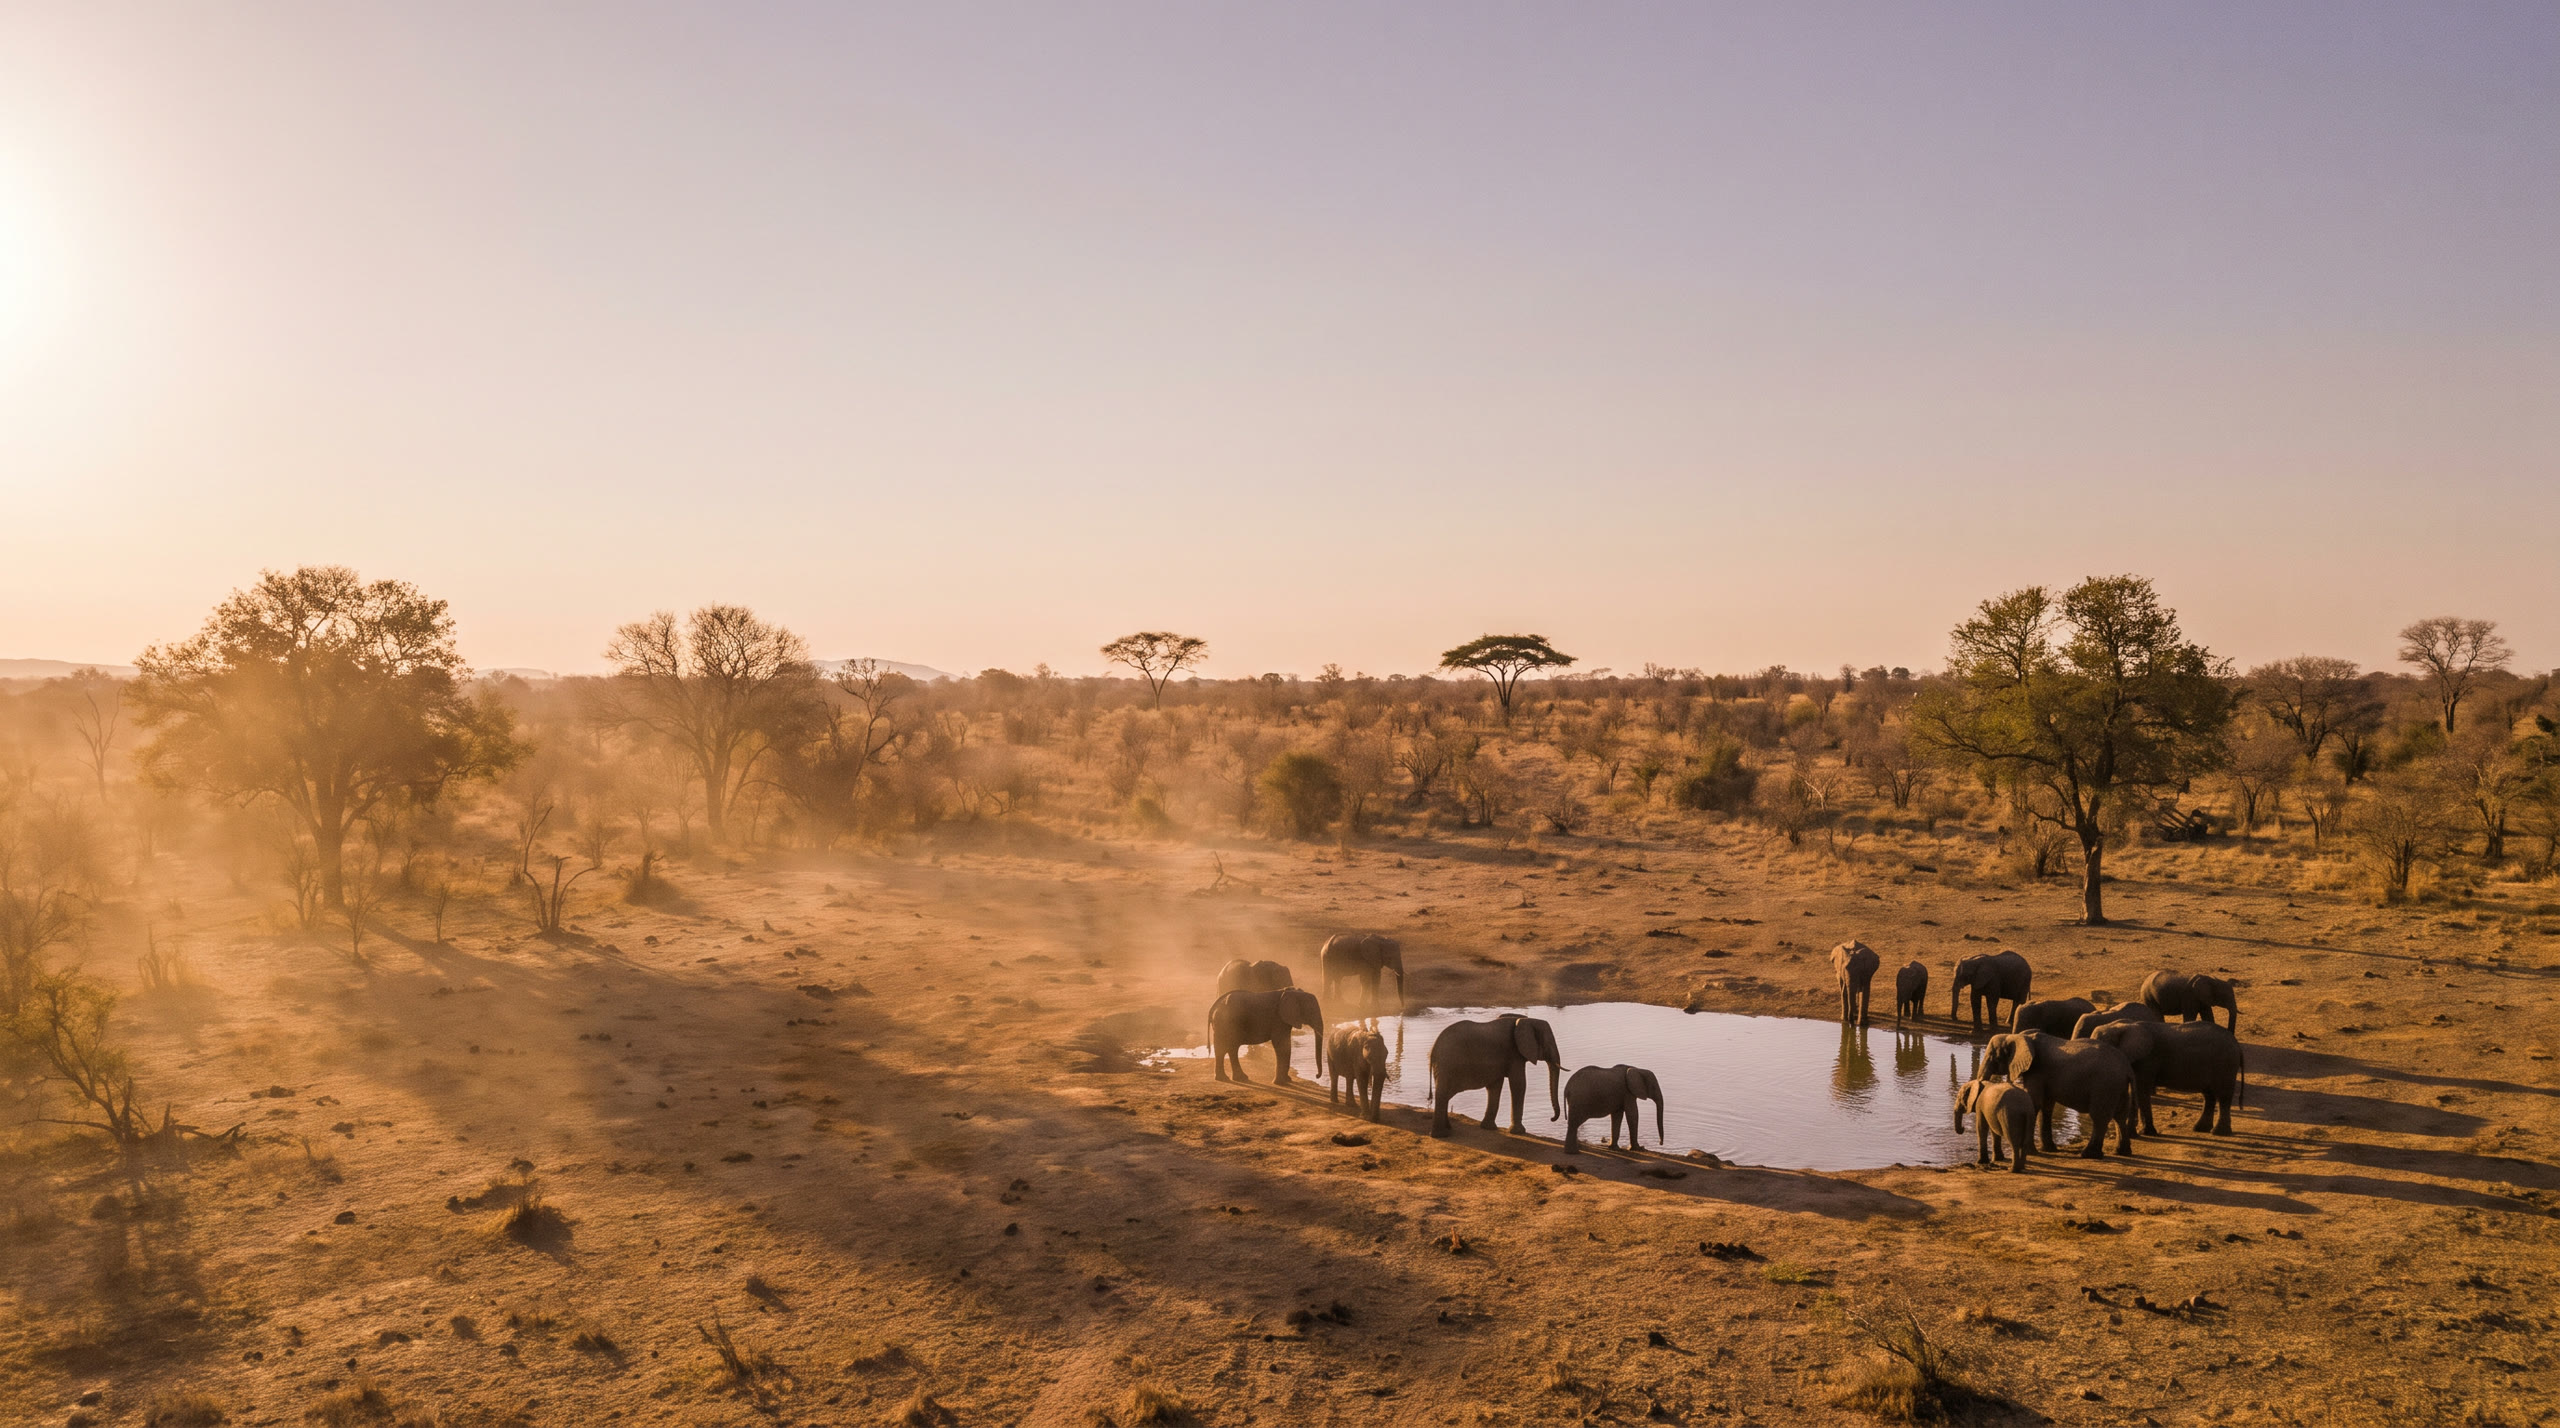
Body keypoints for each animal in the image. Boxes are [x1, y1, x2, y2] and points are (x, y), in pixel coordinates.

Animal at [1427, 1014, 1562, 1137]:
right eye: (1548, 1043)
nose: (1552, 1118)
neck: (1525, 1019)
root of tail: (1433, 1049)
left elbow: (1495, 1086)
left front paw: (1488, 1128)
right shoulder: (1514, 1053)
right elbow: (1518, 1084)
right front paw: (1518, 1132)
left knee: (1445, 1094)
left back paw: (1447, 1130)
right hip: (1448, 1063)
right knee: (1443, 1093)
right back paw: (1441, 1135)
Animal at [1979, 1031, 2135, 1159]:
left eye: (1992, 1056)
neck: (2017, 1036)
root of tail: (2128, 1068)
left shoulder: (2037, 1071)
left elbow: (2034, 1104)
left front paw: (2031, 1152)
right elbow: (2046, 1106)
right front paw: (2048, 1149)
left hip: (2105, 1085)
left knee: (2099, 1117)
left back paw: (2088, 1154)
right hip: (2118, 1087)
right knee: (2120, 1116)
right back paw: (2121, 1152)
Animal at [2091, 1021, 2244, 1135]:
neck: (2122, 1026)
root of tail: (2237, 1043)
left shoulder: (2148, 1060)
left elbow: (2141, 1090)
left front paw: (2145, 1133)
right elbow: (2135, 1091)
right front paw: (2136, 1134)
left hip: (2225, 1064)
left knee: (2223, 1096)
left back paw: (2219, 1132)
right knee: (2209, 1095)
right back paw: (2200, 1129)